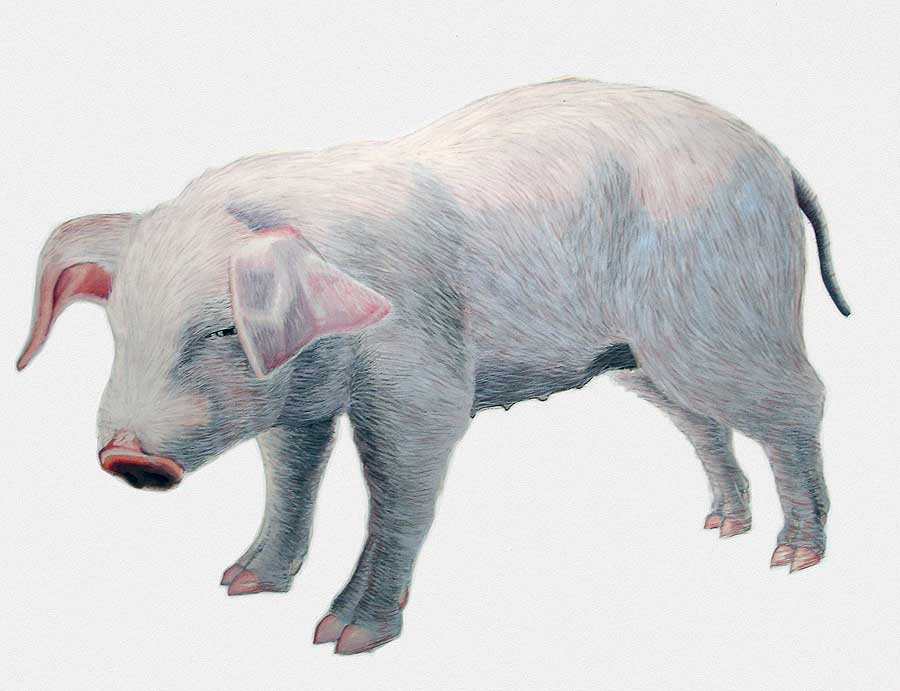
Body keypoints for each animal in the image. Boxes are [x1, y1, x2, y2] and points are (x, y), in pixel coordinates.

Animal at [18, 78, 850, 654]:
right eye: (120, 327)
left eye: (224, 326)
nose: (128, 455)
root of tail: (776, 160)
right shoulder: (300, 399)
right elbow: (289, 480)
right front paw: (242, 583)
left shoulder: (422, 384)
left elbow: (398, 496)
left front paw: (344, 638)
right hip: (644, 358)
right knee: (705, 422)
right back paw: (723, 525)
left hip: (726, 318)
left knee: (801, 403)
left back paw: (793, 557)